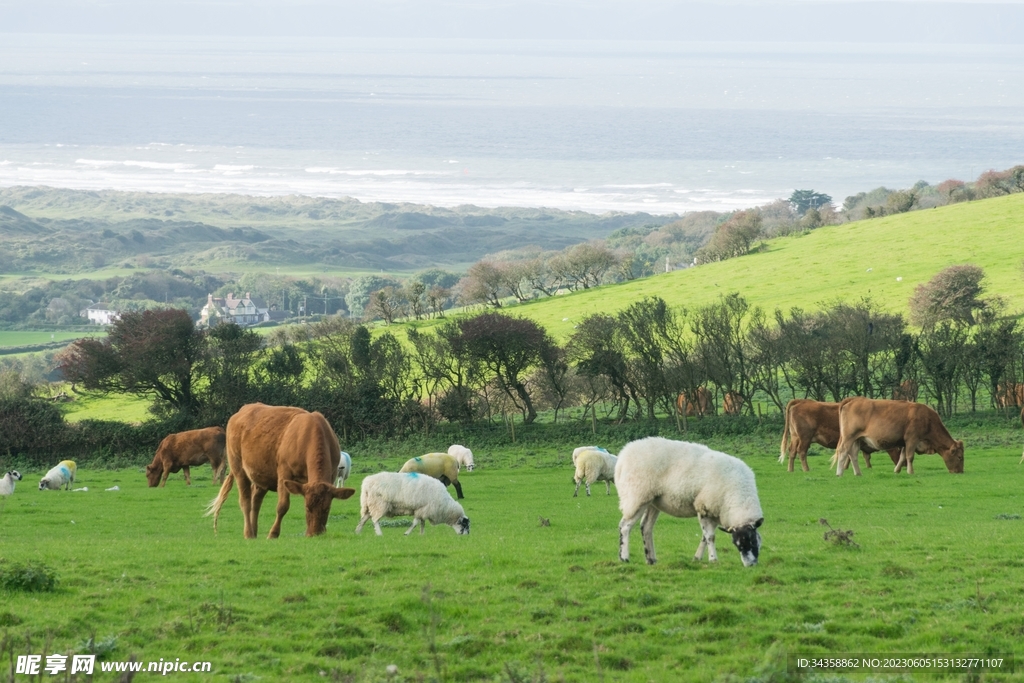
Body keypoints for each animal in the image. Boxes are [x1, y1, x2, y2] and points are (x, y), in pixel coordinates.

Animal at [203, 401, 356, 540]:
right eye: (307, 507)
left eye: (327, 508)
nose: (315, 533)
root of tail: (242, 410)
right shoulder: (284, 472)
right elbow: (283, 506)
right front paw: (273, 534)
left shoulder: (332, 474)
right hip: (238, 467)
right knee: (245, 501)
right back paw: (248, 533)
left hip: (261, 474)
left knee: (255, 500)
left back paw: (254, 531)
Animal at [610, 438, 765, 565]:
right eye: (737, 544)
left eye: (754, 540)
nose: (750, 565)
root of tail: (622, 457)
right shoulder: (704, 507)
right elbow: (710, 537)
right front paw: (713, 559)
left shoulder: (716, 512)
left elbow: (704, 537)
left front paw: (697, 558)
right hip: (637, 496)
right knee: (624, 526)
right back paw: (624, 557)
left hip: (652, 501)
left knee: (646, 527)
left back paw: (651, 559)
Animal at [827, 397, 962, 479]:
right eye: (960, 457)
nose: (960, 472)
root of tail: (854, 399)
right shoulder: (912, 439)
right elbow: (910, 456)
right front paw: (910, 472)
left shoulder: (905, 442)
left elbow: (902, 456)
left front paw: (897, 470)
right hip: (848, 437)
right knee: (843, 452)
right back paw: (839, 473)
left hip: (857, 439)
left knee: (853, 454)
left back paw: (858, 473)